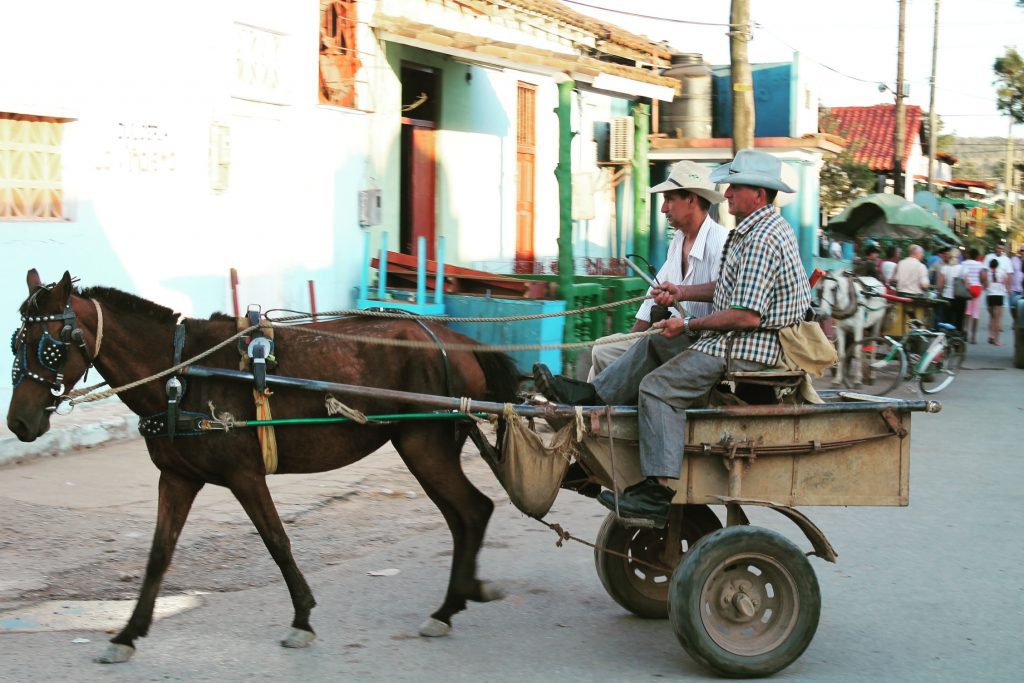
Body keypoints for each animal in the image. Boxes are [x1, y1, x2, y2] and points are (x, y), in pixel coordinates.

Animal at [6, 270, 520, 663]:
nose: (18, 422)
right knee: (466, 515)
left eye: (50, 345)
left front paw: (302, 619)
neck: (180, 373)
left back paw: (452, 603)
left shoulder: (244, 476)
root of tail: (459, 342)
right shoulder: (178, 478)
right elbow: (158, 555)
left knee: (472, 511)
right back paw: (455, 601)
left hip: (423, 446)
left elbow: (277, 541)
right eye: (16, 342)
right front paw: (128, 634)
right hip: (426, 449)